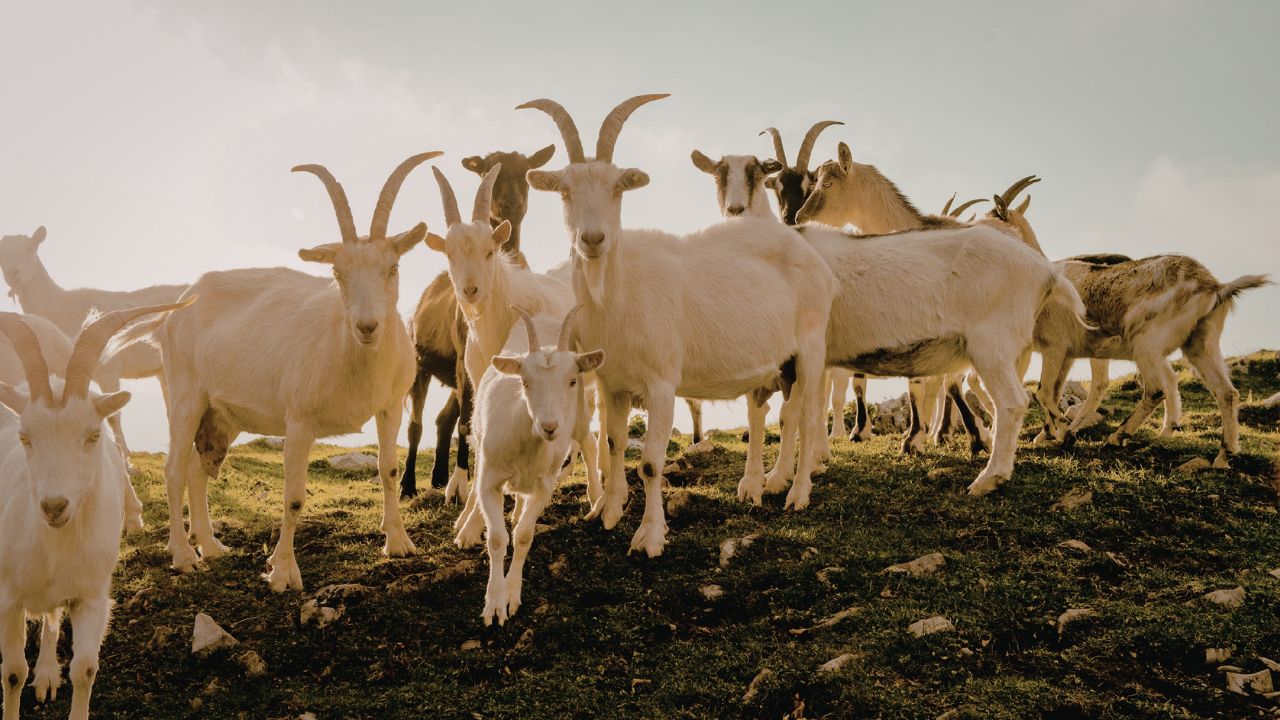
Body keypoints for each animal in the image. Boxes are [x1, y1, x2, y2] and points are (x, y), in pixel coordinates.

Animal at [0, 300, 189, 720]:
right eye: (25, 437)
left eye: (93, 435)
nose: (54, 506)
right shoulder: (6, 597)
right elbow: (12, 673)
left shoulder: (91, 595)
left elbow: (84, 669)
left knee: (52, 620)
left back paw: (47, 674)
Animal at [150, 152, 438, 591]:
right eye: (337, 273)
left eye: (393, 267)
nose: (367, 326)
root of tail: (182, 303)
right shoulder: (300, 420)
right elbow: (295, 496)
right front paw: (282, 571)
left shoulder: (389, 407)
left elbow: (387, 469)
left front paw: (399, 542)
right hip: (184, 395)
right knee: (174, 469)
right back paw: (183, 556)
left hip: (222, 413)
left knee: (198, 471)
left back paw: (211, 546)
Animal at [401, 145, 557, 502]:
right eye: (450, 254)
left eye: (489, 251)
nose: (469, 290)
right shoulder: (465, 359)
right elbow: (468, 422)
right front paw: (461, 486)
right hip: (421, 365)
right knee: (418, 424)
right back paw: (408, 485)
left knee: (444, 418)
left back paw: (438, 477)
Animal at [457, 306, 603, 626]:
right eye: (525, 382)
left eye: (572, 380)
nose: (549, 427)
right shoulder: (491, 480)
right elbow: (497, 538)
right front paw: (494, 603)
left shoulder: (544, 486)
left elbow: (524, 536)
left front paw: (511, 595)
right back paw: (470, 526)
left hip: (579, 418)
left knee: (589, 443)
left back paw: (597, 496)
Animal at [521, 95, 837, 554]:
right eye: (564, 190)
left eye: (618, 189)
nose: (593, 239)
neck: (620, 293)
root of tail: (813, 257)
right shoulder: (612, 384)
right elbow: (614, 443)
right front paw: (608, 511)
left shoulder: (661, 383)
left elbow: (651, 463)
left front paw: (650, 536)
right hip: (783, 362)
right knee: (781, 414)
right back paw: (762, 486)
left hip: (811, 346)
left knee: (810, 415)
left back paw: (797, 494)